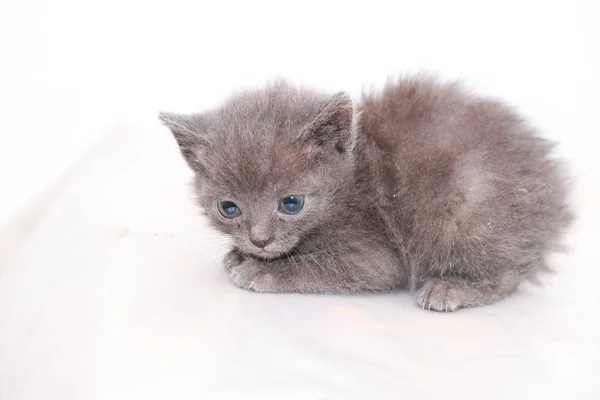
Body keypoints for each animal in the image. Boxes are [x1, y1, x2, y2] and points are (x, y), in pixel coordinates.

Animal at [159, 76, 572, 312]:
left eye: (291, 203)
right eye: (228, 208)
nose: (260, 240)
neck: (350, 181)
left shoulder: (376, 251)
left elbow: (329, 265)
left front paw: (262, 270)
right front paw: (239, 254)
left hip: (464, 208)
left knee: (506, 274)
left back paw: (450, 288)